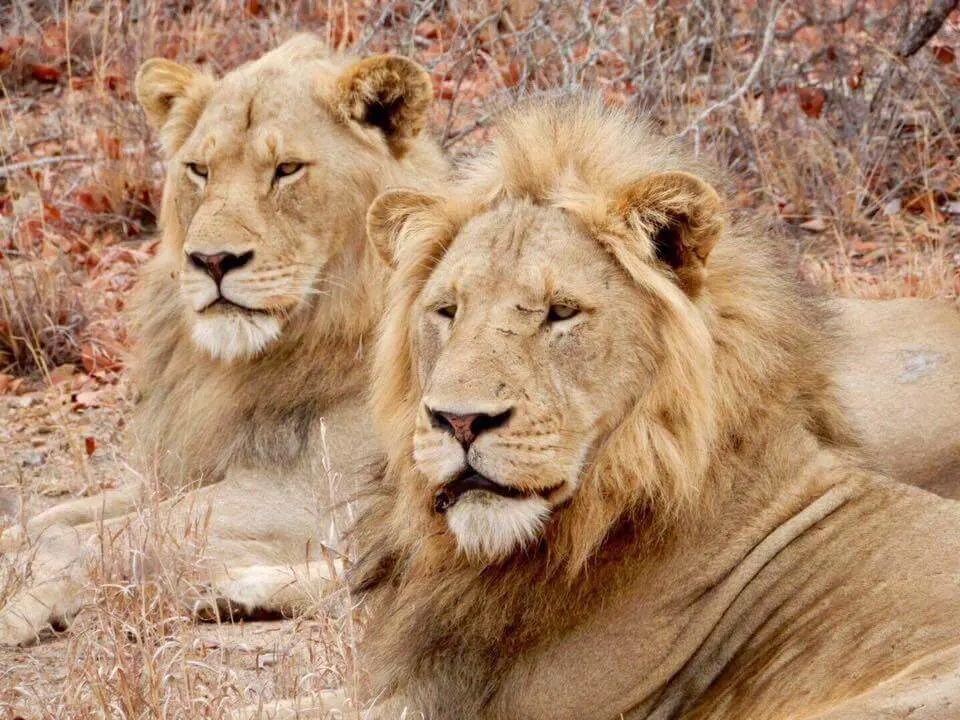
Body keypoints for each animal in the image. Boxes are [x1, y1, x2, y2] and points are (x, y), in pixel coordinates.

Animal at [0, 33, 446, 648]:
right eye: (199, 170)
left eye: (287, 169)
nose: (212, 260)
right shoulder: (184, 468)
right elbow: (51, 518)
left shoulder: (309, 497)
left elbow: (112, 533)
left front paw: (24, 594)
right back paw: (233, 595)